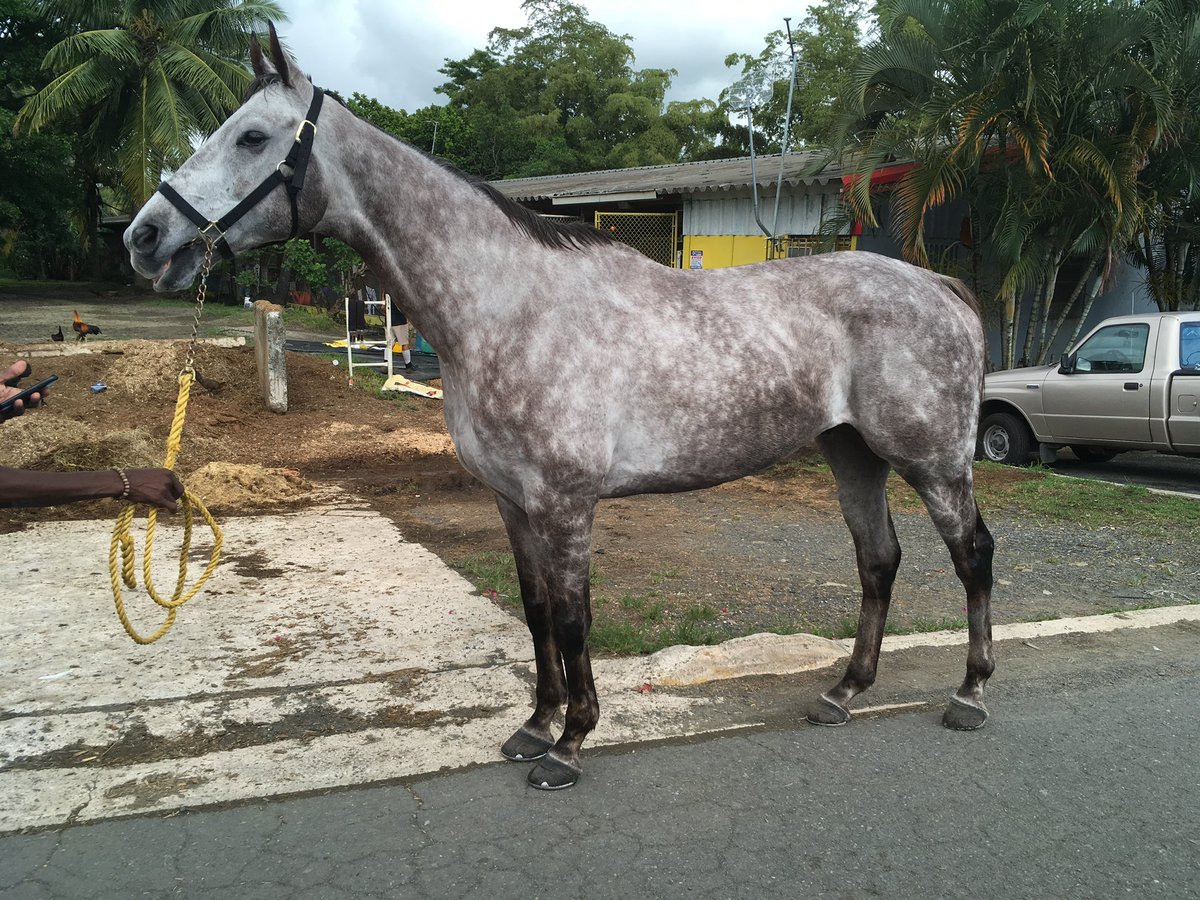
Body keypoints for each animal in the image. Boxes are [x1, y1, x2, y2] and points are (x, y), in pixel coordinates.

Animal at [125, 26, 995, 791]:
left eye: (252, 137)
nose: (145, 236)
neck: (509, 307)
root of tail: (938, 286)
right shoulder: (515, 502)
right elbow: (537, 611)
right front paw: (534, 725)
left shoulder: (566, 501)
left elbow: (575, 619)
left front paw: (571, 743)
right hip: (854, 453)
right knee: (878, 560)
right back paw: (844, 692)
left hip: (932, 461)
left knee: (972, 555)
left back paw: (970, 694)